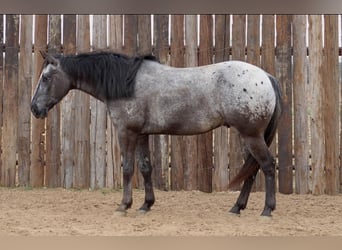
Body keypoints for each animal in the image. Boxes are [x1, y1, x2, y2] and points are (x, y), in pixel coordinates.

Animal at [31, 51, 284, 217]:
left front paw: (124, 205)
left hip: (251, 136)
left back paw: (267, 209)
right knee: (252, 171)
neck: (127, 82)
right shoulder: (142, 134)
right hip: (247, 137)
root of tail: (266, 77)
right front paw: (146, 205)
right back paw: (236, 207)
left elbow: (127, 168)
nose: (34, 108)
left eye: (45, 78)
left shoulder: (126, 132)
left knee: (267, 165)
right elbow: (145, 168)